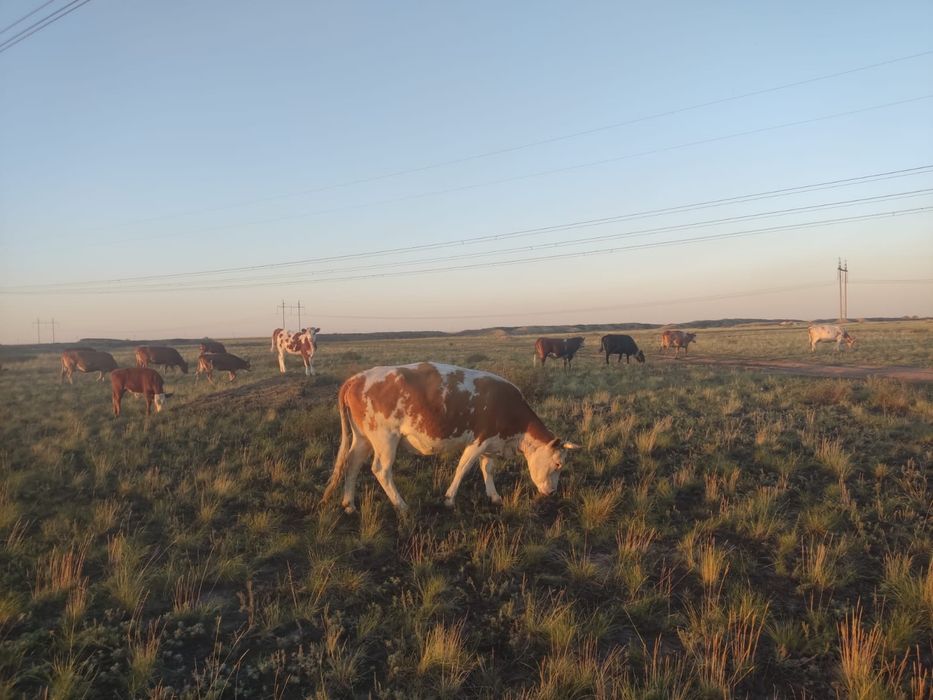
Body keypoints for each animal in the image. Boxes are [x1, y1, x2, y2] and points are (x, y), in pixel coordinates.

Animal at [321, 362, 579, 514]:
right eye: (558, 464)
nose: (552, 492)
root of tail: (356, 379)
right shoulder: (478, 441)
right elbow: (463, 469)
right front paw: (448, 499)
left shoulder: (491, 443)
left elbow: (488, 469)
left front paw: (494, 496)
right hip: (385, 438)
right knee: (380, 470)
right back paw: (401, 505)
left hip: (363, 438)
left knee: (352, 463)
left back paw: (349, 504)